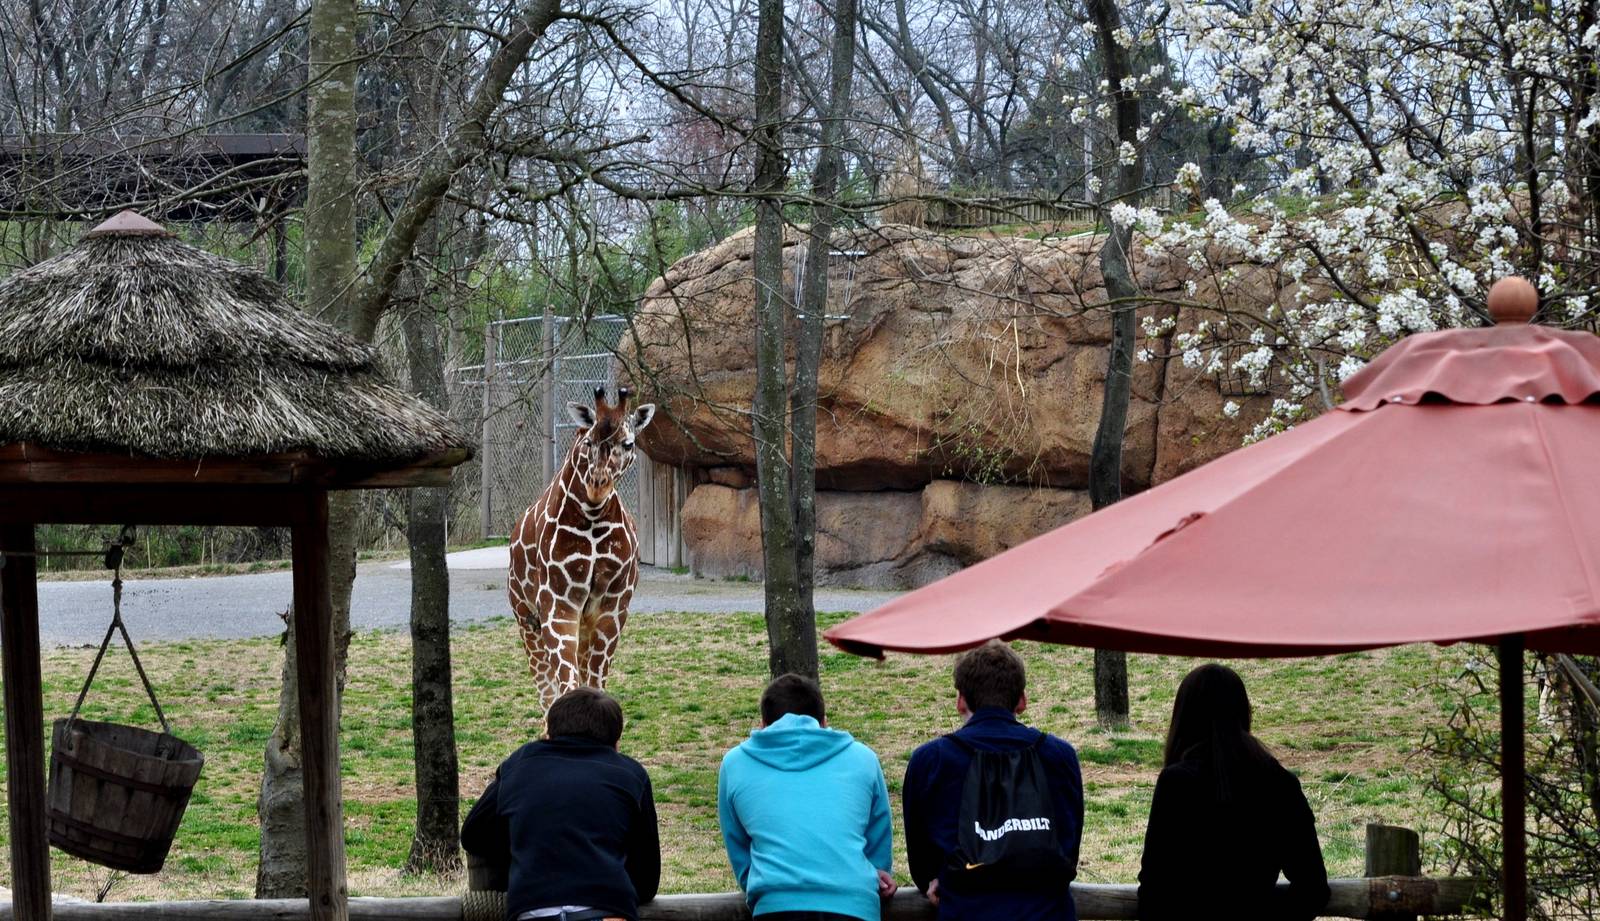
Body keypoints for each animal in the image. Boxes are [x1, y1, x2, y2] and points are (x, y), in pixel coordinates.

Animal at [508, 386, 656, 711]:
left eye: (628, 443)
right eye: (589, 441)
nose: (597, 484)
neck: (592, 518)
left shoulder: (614, 606)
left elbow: (595, 682)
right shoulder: (558, 603)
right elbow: (565, 686)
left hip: (581, 624)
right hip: (526, 617)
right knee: (544, 690)